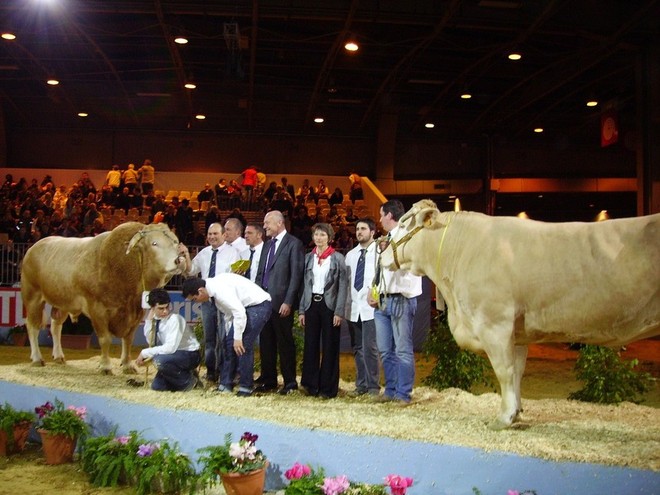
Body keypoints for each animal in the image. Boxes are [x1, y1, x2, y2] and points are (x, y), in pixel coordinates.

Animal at [21, 223, 186, 374]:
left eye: (175, 242)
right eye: (154, 243)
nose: (179, 260)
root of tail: (34, 247)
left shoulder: (137, 313)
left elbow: (128, 339)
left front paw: (127, 365)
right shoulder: (97, 309)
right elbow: (105, 339)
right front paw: (105, 366)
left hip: (62, 302)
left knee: (56, 326)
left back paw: (58, 356)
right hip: (32, 296)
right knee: (32, 326)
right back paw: (37, 358)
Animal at [378, 200, 656, 428]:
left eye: (402, 224)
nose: (381, 253)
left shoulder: (495, 324)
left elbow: (504, 370)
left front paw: (505, 416)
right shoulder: (518, 333)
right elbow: (517, 372)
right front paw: (518, 412)